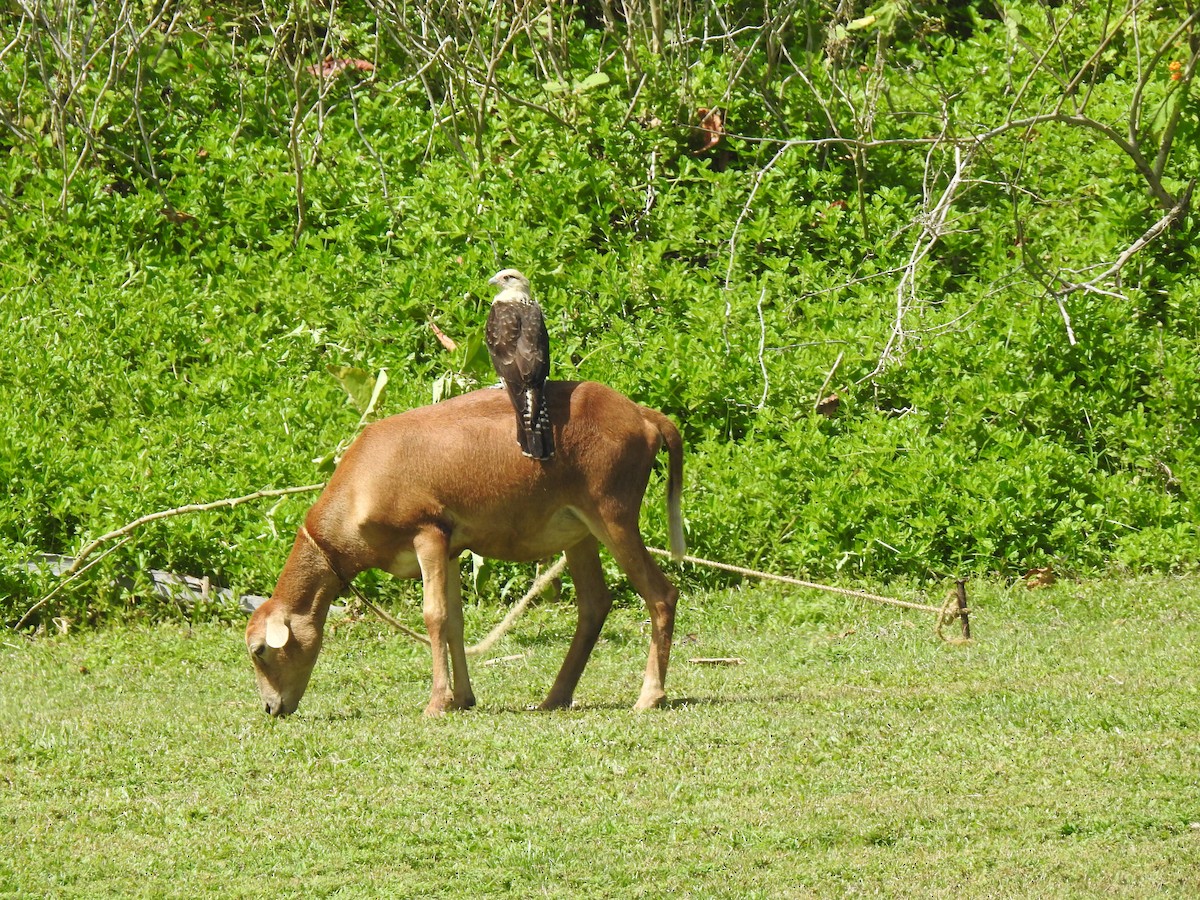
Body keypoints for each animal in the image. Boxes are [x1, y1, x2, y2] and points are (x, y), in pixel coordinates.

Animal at [243, 381, 686, 720]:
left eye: (260, 650)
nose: (271, 708)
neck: (359, 490)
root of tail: (643, 415)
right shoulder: (452, 549)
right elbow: (454, 622)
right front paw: (463, 699)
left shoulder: (428, 534)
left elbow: (434, 617)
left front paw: (437, 704)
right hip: (579, 531)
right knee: (595, 603)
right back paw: (554, 697)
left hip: (613, 515)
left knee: (661, 594)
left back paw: (649, 696)